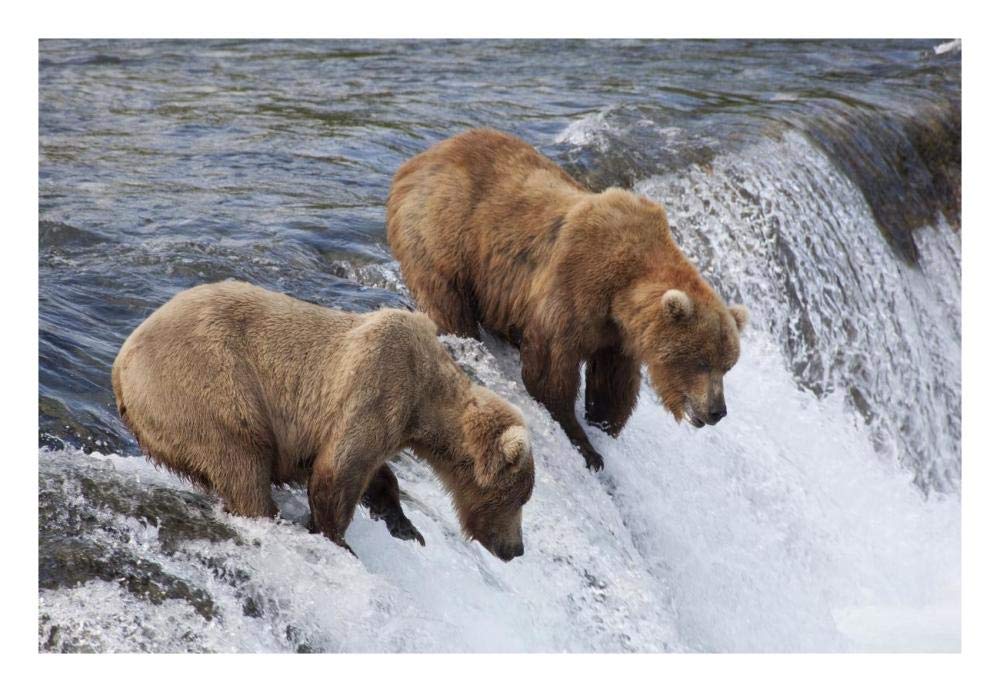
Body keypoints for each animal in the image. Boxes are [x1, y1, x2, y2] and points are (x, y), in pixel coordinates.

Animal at [111, 281, 535, 561]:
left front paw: (405, 526)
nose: (516, 549)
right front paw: (338, 539)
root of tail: (119, 366)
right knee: (241, 460)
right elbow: (338, 471)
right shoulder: (378, 386)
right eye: (518, 497)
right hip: (206, 387)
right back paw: (266, 513)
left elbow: (373, 472)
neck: (424, 400)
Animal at [387, 128, 748, 472]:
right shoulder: (574, 287)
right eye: (701, 362)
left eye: (728, 366)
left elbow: (613, 384)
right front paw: (586, 446)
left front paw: (603, 425)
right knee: (448, 300)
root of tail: (419, 160)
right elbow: (549, 372)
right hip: (445, 232)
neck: (623, 289)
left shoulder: (616, 336)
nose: (717, 411)